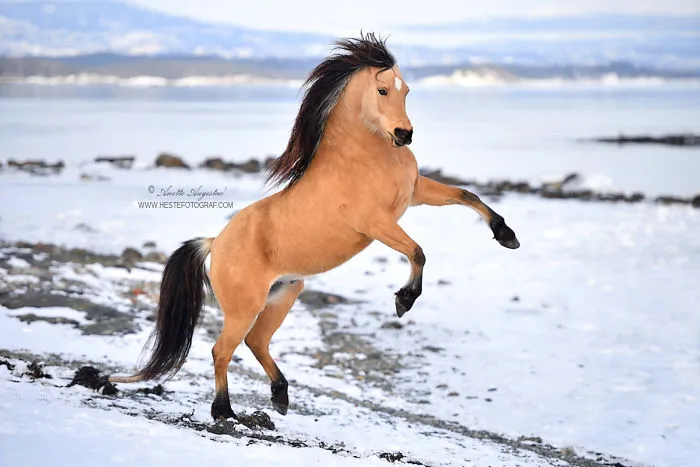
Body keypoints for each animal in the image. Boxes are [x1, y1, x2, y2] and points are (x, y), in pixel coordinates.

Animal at [109, 33, 520, 421]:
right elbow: (418, 251)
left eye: (406, 91)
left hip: (284, 294)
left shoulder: (415, 194)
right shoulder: (375, 222)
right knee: (221, 350)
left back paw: (280, 396)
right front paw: (404, 301)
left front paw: (507, 236)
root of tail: (214, 242)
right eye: (382, 90)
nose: (404, 135)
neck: (363, 159)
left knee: (256, 342)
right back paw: (225, 411)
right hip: (245, 307)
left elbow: (467, 195)